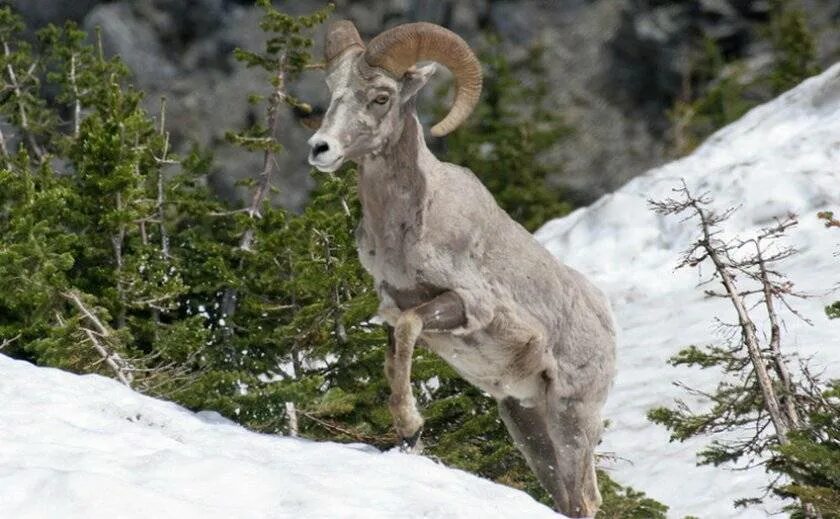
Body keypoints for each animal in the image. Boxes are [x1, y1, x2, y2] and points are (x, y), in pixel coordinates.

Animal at [308, 22, 616, 516]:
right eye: (332, 89)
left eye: (380, 97)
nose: (320, 148)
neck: (406, 227)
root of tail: (606, 323)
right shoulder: (393, 307)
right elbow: (395, 358)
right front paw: (407, 435)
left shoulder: (466, 305)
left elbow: (412, 329)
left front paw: (411, 425)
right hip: (526, 422)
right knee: (566, 497)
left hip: (572, 416)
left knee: (585, 499)